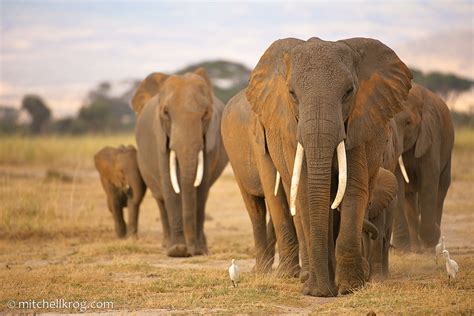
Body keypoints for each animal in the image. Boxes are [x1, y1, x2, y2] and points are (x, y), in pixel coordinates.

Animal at [131, 67, 228, 256]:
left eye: (206, 114)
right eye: (165, 113)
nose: (192, 251)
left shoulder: (210, 141)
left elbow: (201, 187)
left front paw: (199, 250)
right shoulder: (160, 138)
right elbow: (169, 184)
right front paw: (177, 251)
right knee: (160, 198)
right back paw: (166, 244)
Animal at [221, 89, 300, 276]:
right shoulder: (258, 139)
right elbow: (273, 191)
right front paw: (288, 274)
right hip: (234, 160)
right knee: (255, 209)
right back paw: (261, 270)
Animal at [244, 37, 412, 296]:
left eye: (349, 92)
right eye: (292, 93)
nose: (319, 290)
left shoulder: (357, 124)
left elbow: (353, 188)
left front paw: (349, 287)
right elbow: (306, 191)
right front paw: (317, 290)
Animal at [390, 84, 454, 252]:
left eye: (408, 122)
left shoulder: (432, 133)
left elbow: (429, 178)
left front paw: (430, 243)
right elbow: (397, 181)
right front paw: (402, 250)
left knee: (440, 190)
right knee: (409, 199)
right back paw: (415, 249)